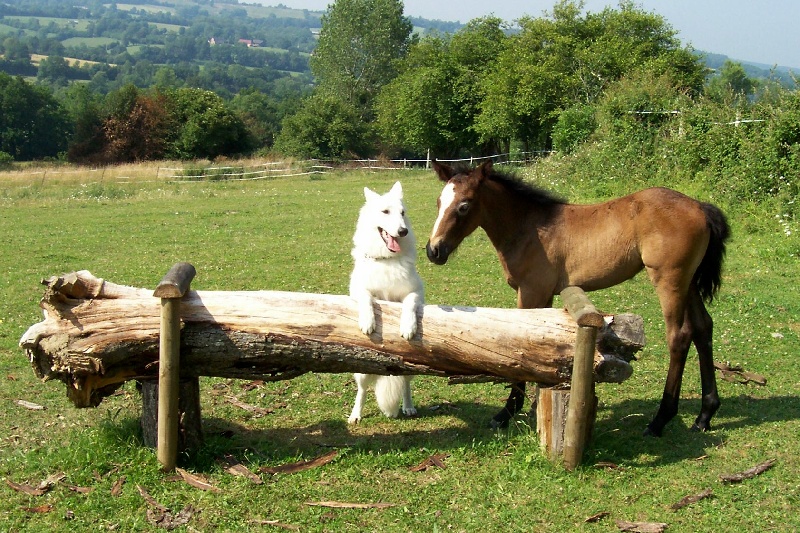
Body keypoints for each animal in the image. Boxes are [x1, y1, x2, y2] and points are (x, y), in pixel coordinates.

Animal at [350, 181, 424, 422]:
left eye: (402, 213)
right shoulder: (357, 290)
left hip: (410, 367)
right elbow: (366, 298)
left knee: (406, 387)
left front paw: (408, 326)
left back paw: (408, 406)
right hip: (362, 369)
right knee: (362, 390)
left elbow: (409, 303)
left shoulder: (416, 292)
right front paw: (368, 322)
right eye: (385, 212)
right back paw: (356, 414)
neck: (387, 259)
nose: (403, 231)